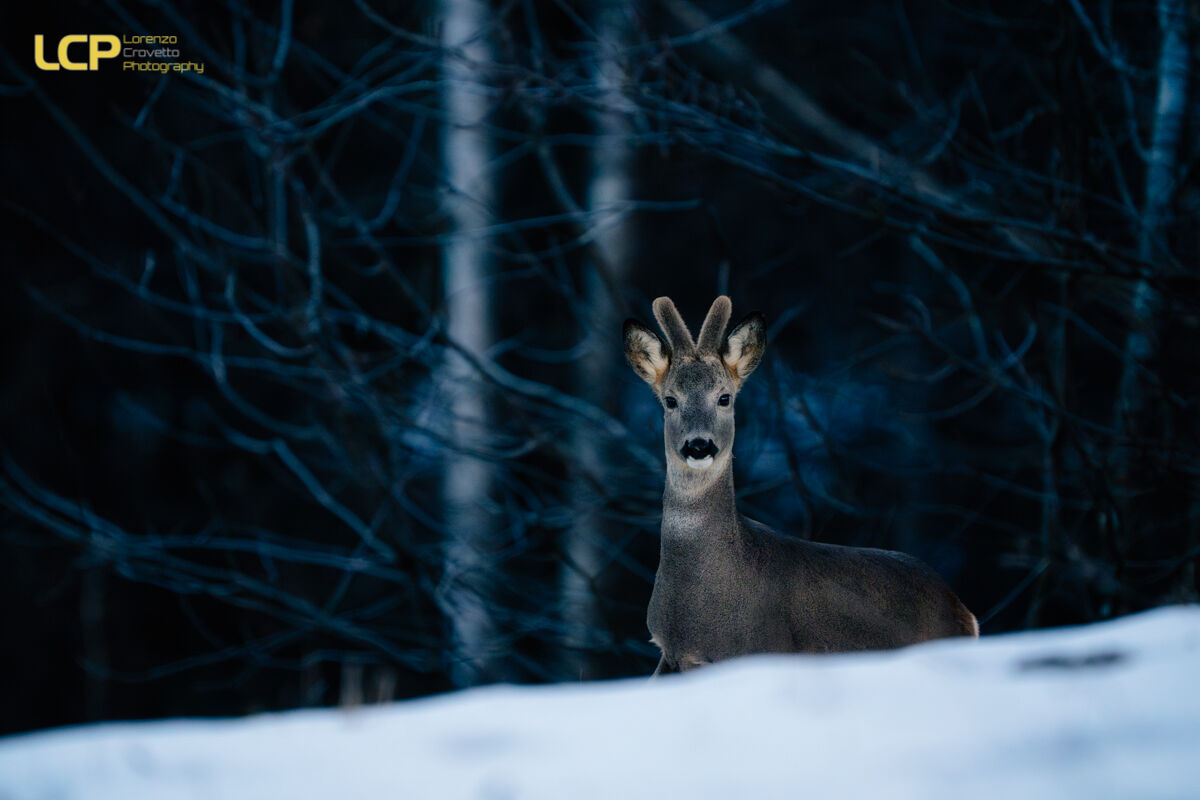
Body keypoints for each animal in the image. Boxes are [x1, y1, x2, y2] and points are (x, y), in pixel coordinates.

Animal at [624, 295, 979, 676]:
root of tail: (964, 612)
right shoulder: (671, 654)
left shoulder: (762, 649)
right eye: (670, 400)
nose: (699, 445)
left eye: (724, 397)